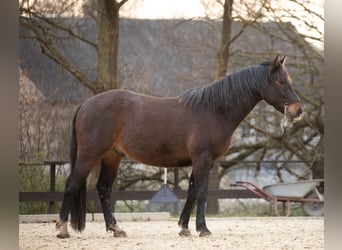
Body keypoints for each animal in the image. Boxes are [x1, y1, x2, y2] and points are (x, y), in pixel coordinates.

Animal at [56, 55, 302, 238]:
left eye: (289, 79)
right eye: (281, 81)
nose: (297, 111)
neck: (215, 110)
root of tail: (86, 104)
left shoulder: (200, 162)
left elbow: (192, 192)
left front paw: (184, 228)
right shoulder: (202, 159)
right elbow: (201, 192)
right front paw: (203, 229)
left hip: (111, 157)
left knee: (104, 188)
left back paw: (115, 228)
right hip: (89, 155)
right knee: (72, 183)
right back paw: (62, 229)